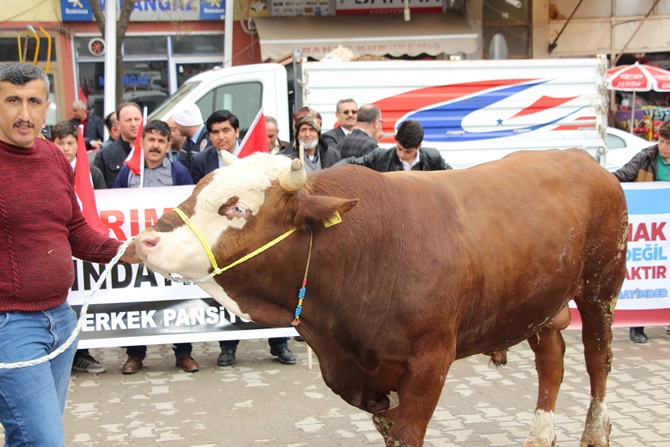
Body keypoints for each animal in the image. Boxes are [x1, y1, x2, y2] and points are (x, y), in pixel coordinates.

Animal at [135, 150, 632, 447]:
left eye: (237, 208)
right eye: (198, 189)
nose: (144, 241)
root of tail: (581, 158)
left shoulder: (431, 361)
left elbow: (406, 431)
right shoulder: (355, 372)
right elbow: (385, 422)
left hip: (601, 287)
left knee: (598, 362)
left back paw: (595, 432)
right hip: (539, 303)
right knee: (552, 360)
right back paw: (540, 434)